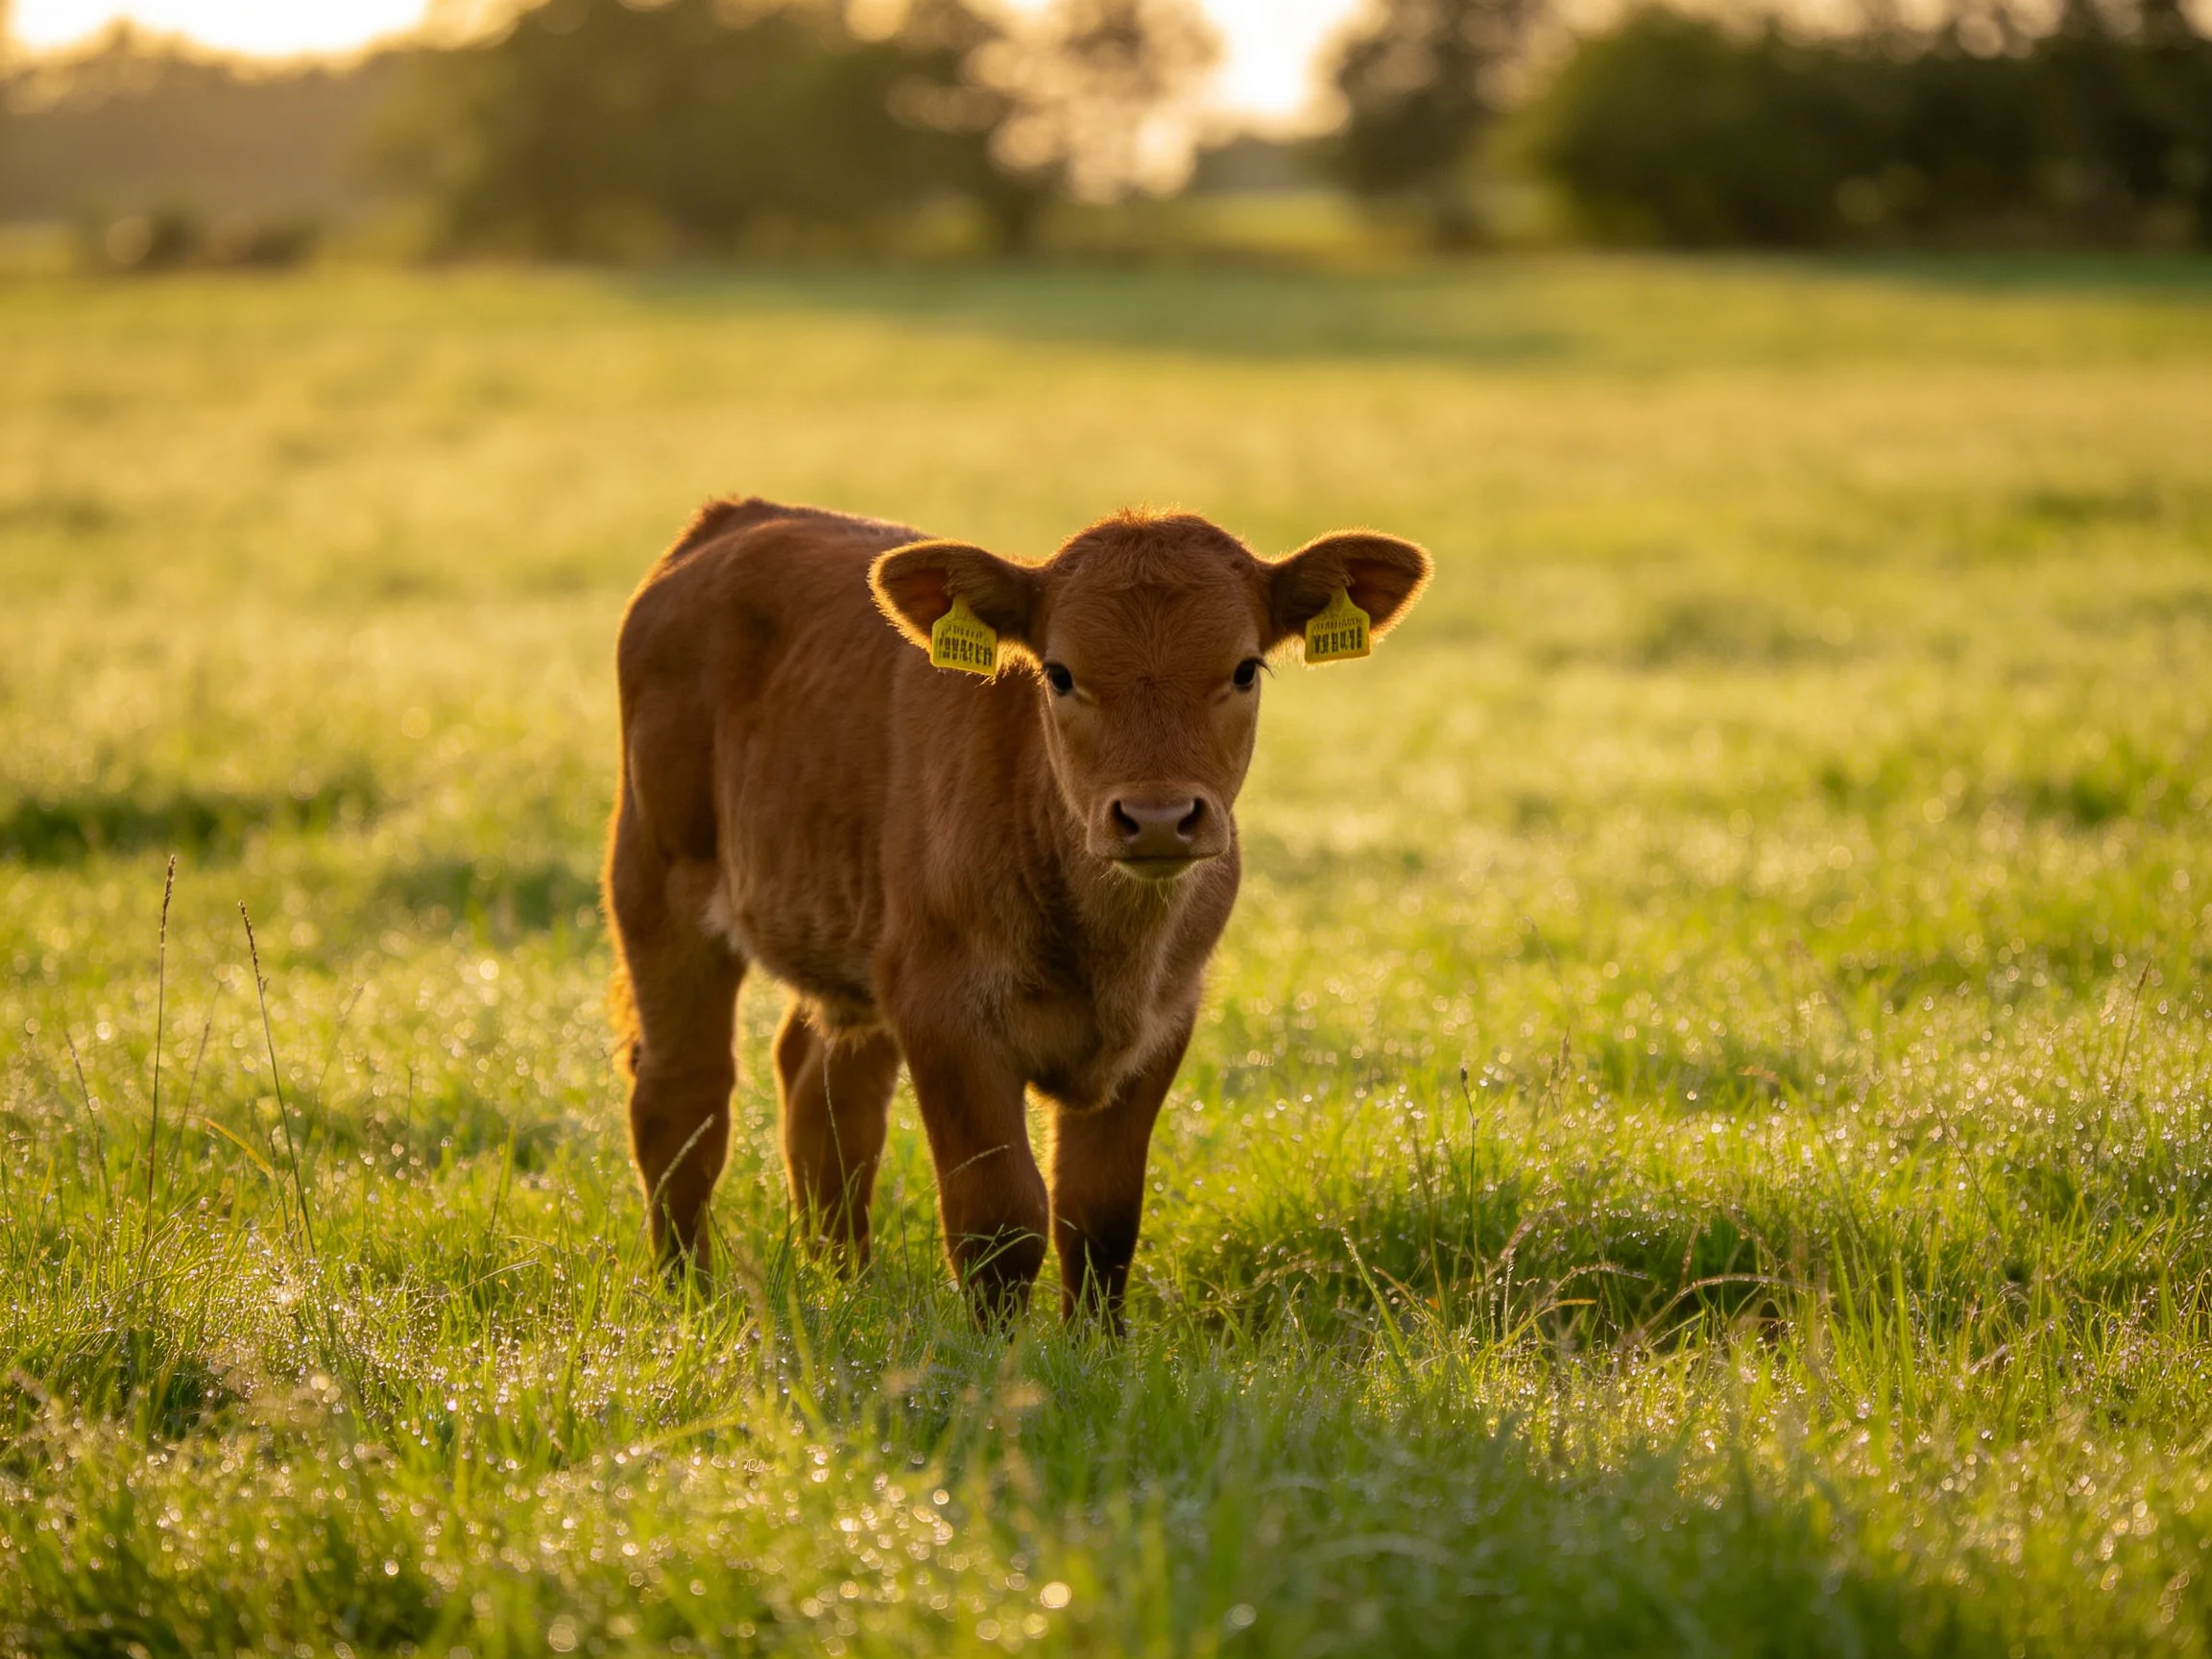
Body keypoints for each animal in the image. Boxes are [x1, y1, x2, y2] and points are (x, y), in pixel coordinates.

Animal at [604, 498, 1430, 1325]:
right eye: (1060, 674)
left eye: (1245, 668)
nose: (1158, 818)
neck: (1109, 950)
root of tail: (740, 519)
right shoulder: (944, 1012)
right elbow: (999, 1217)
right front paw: (995, 1353)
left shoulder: (1165, 1019)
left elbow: (1099, 1216)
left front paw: (1097, 1344)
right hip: (659, 881)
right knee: (682, 1097)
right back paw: (688, 1296)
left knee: (826, 1100)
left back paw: (849, 1285)